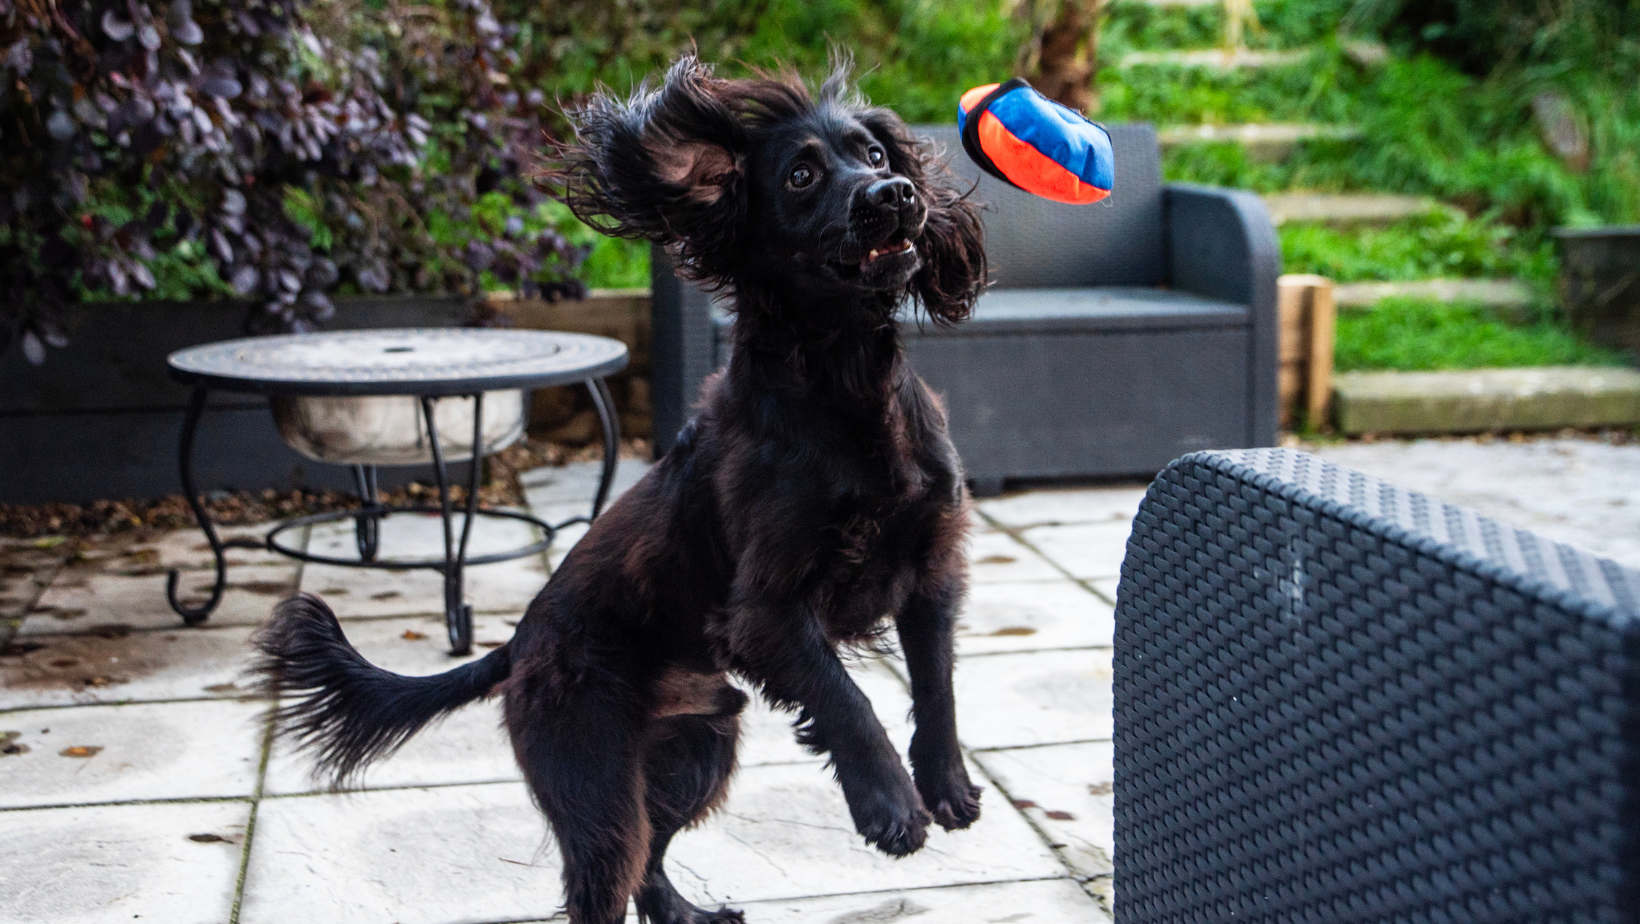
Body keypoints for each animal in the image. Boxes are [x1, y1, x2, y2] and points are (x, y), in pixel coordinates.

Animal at [246, 57, 984, 924]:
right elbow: (847, 701)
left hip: (695, 747)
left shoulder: (931, 566)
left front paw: (945, 784)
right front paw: (890, 805)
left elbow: (937, 686)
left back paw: (690, 912)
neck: (843, 386)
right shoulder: (767, 609)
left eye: (874, 156)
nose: (894, 195)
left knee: (649, 861)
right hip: (592, 773)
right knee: (606, 877)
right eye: (801, 175)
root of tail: (517, 648)